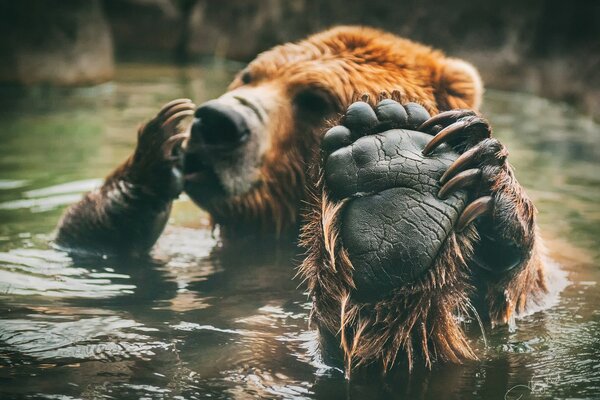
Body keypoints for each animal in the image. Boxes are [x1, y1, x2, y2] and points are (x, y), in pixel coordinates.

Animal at [56, 26, 548, 374]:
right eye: (250, 74)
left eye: (313, 98)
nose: (216, 121)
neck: (277, 229)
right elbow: (83, 247)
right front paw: (159, 146)